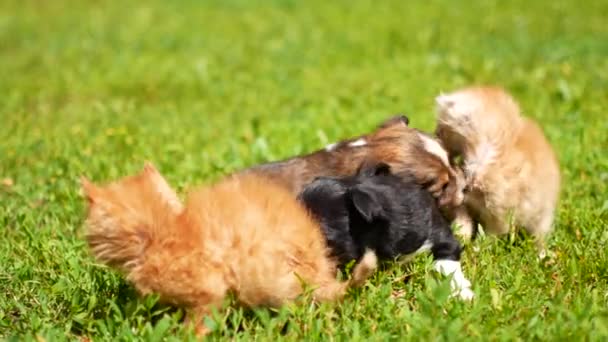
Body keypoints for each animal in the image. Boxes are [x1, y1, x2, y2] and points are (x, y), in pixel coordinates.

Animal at [436, 85, 560, 256]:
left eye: (441, 129)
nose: (435, 135)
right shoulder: (465, 203)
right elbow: (464, 220)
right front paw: (460, 236)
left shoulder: (498, 215)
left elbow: (490, 236)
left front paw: (477, 249)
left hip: (543, 215)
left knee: (539, 235)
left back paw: (541, 253)